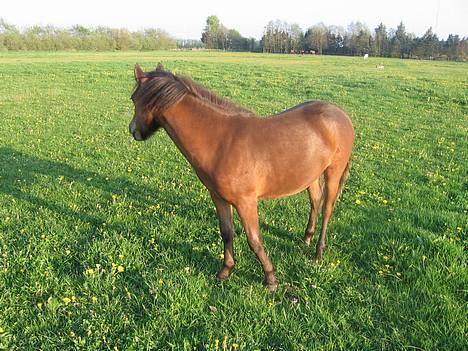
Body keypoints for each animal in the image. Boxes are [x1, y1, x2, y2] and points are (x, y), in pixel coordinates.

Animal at [129, 64, 354, 292]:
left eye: (134, 99)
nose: (133, 131)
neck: (220, 142)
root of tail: (340, 114)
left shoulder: (246, 202)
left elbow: (254, 239)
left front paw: (270, 278)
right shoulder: (218, 198)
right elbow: (227, 232)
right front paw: (225, 271)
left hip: (333, 172)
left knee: (327, 209)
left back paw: (318, 252)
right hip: (310, 175)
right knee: (315, 201)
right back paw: (307, 238)